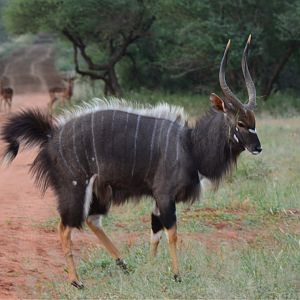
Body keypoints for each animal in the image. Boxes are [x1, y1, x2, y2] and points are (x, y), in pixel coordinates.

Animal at [1, 35, 262, 288]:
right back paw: (76, 281)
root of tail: (50, 134)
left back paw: (124, 264)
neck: (189, 144)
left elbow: (155, 232)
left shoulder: (158, 199)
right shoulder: (165, 195)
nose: (258, 147)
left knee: (92, 220)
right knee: (65, 226)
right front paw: (177, 275)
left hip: (98, 192)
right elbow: (172, 232)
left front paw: (150, 269)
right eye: (240, 123)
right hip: (73, 188)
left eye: (254, 121)